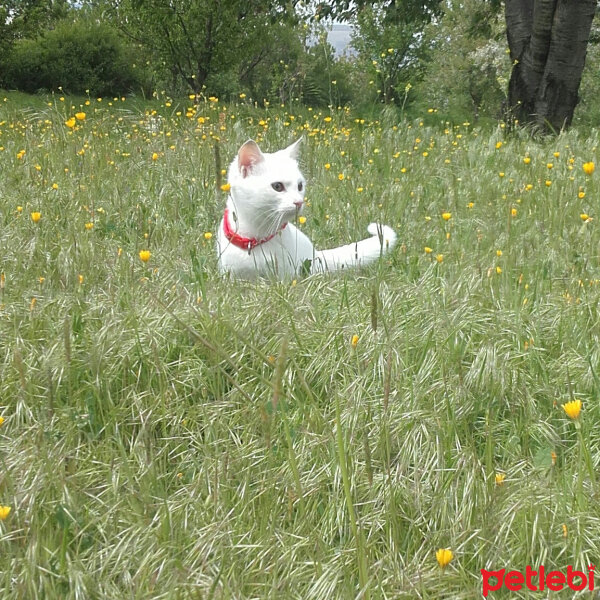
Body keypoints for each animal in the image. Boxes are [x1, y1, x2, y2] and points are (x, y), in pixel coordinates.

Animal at [217, 138, 398, 278]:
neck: (253, 239)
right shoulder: (230, 276)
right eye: (277, 186)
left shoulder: (284, 277)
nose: (298, 202)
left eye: (300, 186)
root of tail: (316, 254)